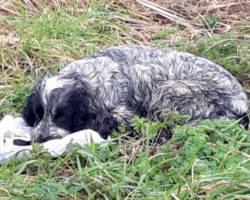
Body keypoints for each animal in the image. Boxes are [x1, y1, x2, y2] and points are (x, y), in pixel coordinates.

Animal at [22, 45, 249, 142]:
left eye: (62, 117)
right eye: (38, 115)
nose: (40, 139)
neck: (87, 78)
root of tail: (241, 101)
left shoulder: (123, 113)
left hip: (168, 91)